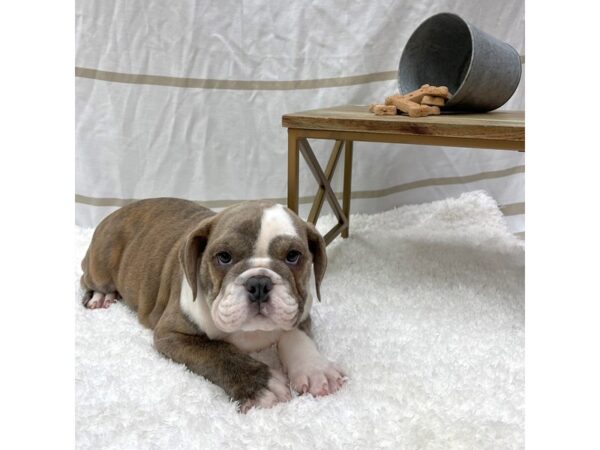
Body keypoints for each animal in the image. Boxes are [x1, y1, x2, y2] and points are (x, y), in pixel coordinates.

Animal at [80, 198, 344, 412]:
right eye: (224, 257)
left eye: (293, 256)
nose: (259, 283)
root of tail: (116, 212)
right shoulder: (172, 334)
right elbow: (218, 352)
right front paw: (260, 384)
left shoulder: (299, 312)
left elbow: (297, 337)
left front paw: (315, 369)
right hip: (100, 268)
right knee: (86, 278)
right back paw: (100, 296)